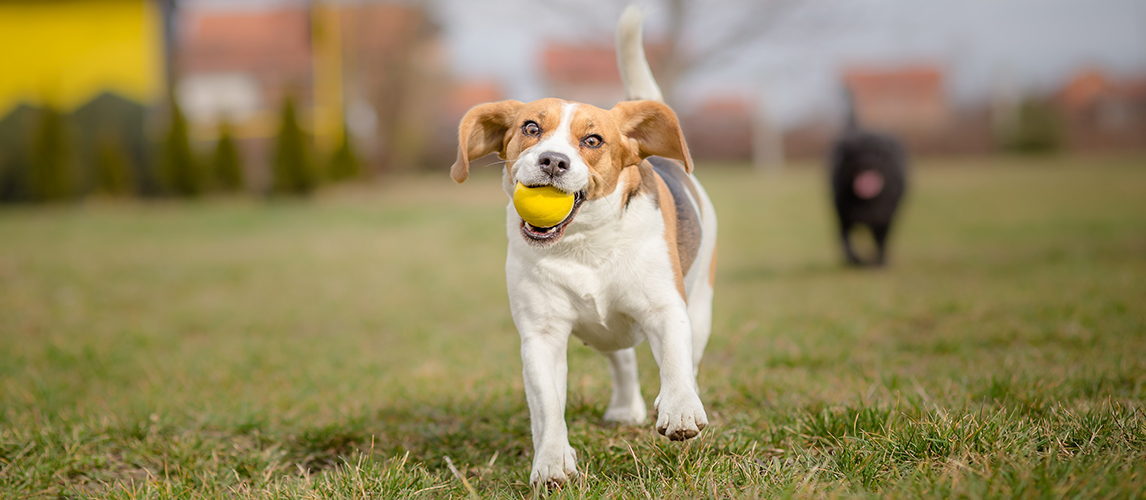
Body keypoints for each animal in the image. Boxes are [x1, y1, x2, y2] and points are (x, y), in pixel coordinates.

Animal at [449, 5, 710, 486]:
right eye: (531, 127)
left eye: (592, 140)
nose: (553, 161)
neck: (584, 244)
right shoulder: (541, 335)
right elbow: (547, 405)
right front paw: (552, 461)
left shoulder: (666, 308)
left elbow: (674, 361)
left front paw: (681, 408)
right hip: (610, 331)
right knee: (623, 361)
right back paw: (626, 409)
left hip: (699, 307)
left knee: (688, 355)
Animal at [829, 99, 907, 267]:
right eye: (858, 152)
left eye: (877, 152)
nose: (868, 161)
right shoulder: (844, 218)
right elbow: (846, 242)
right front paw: (856, 261)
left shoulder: (884, 218)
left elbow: (881, 243)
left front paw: (879, 264)